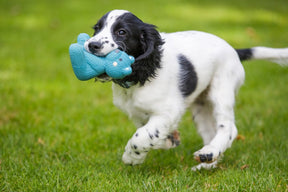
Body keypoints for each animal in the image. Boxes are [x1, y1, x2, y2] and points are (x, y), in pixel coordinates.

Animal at [84, 9, 288, 170]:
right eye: (96, 29)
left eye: (121, 32)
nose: (92, 45)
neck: (136, 80)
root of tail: (234, 50)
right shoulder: (138, 113)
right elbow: (149, 131)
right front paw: (169, 139)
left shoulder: (169, 111)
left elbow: (141, 136)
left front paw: (132, 157)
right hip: (201, 106)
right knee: (210, 132)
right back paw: (207, 163)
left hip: (222, 90)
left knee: (229, 128)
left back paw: (210, 152)